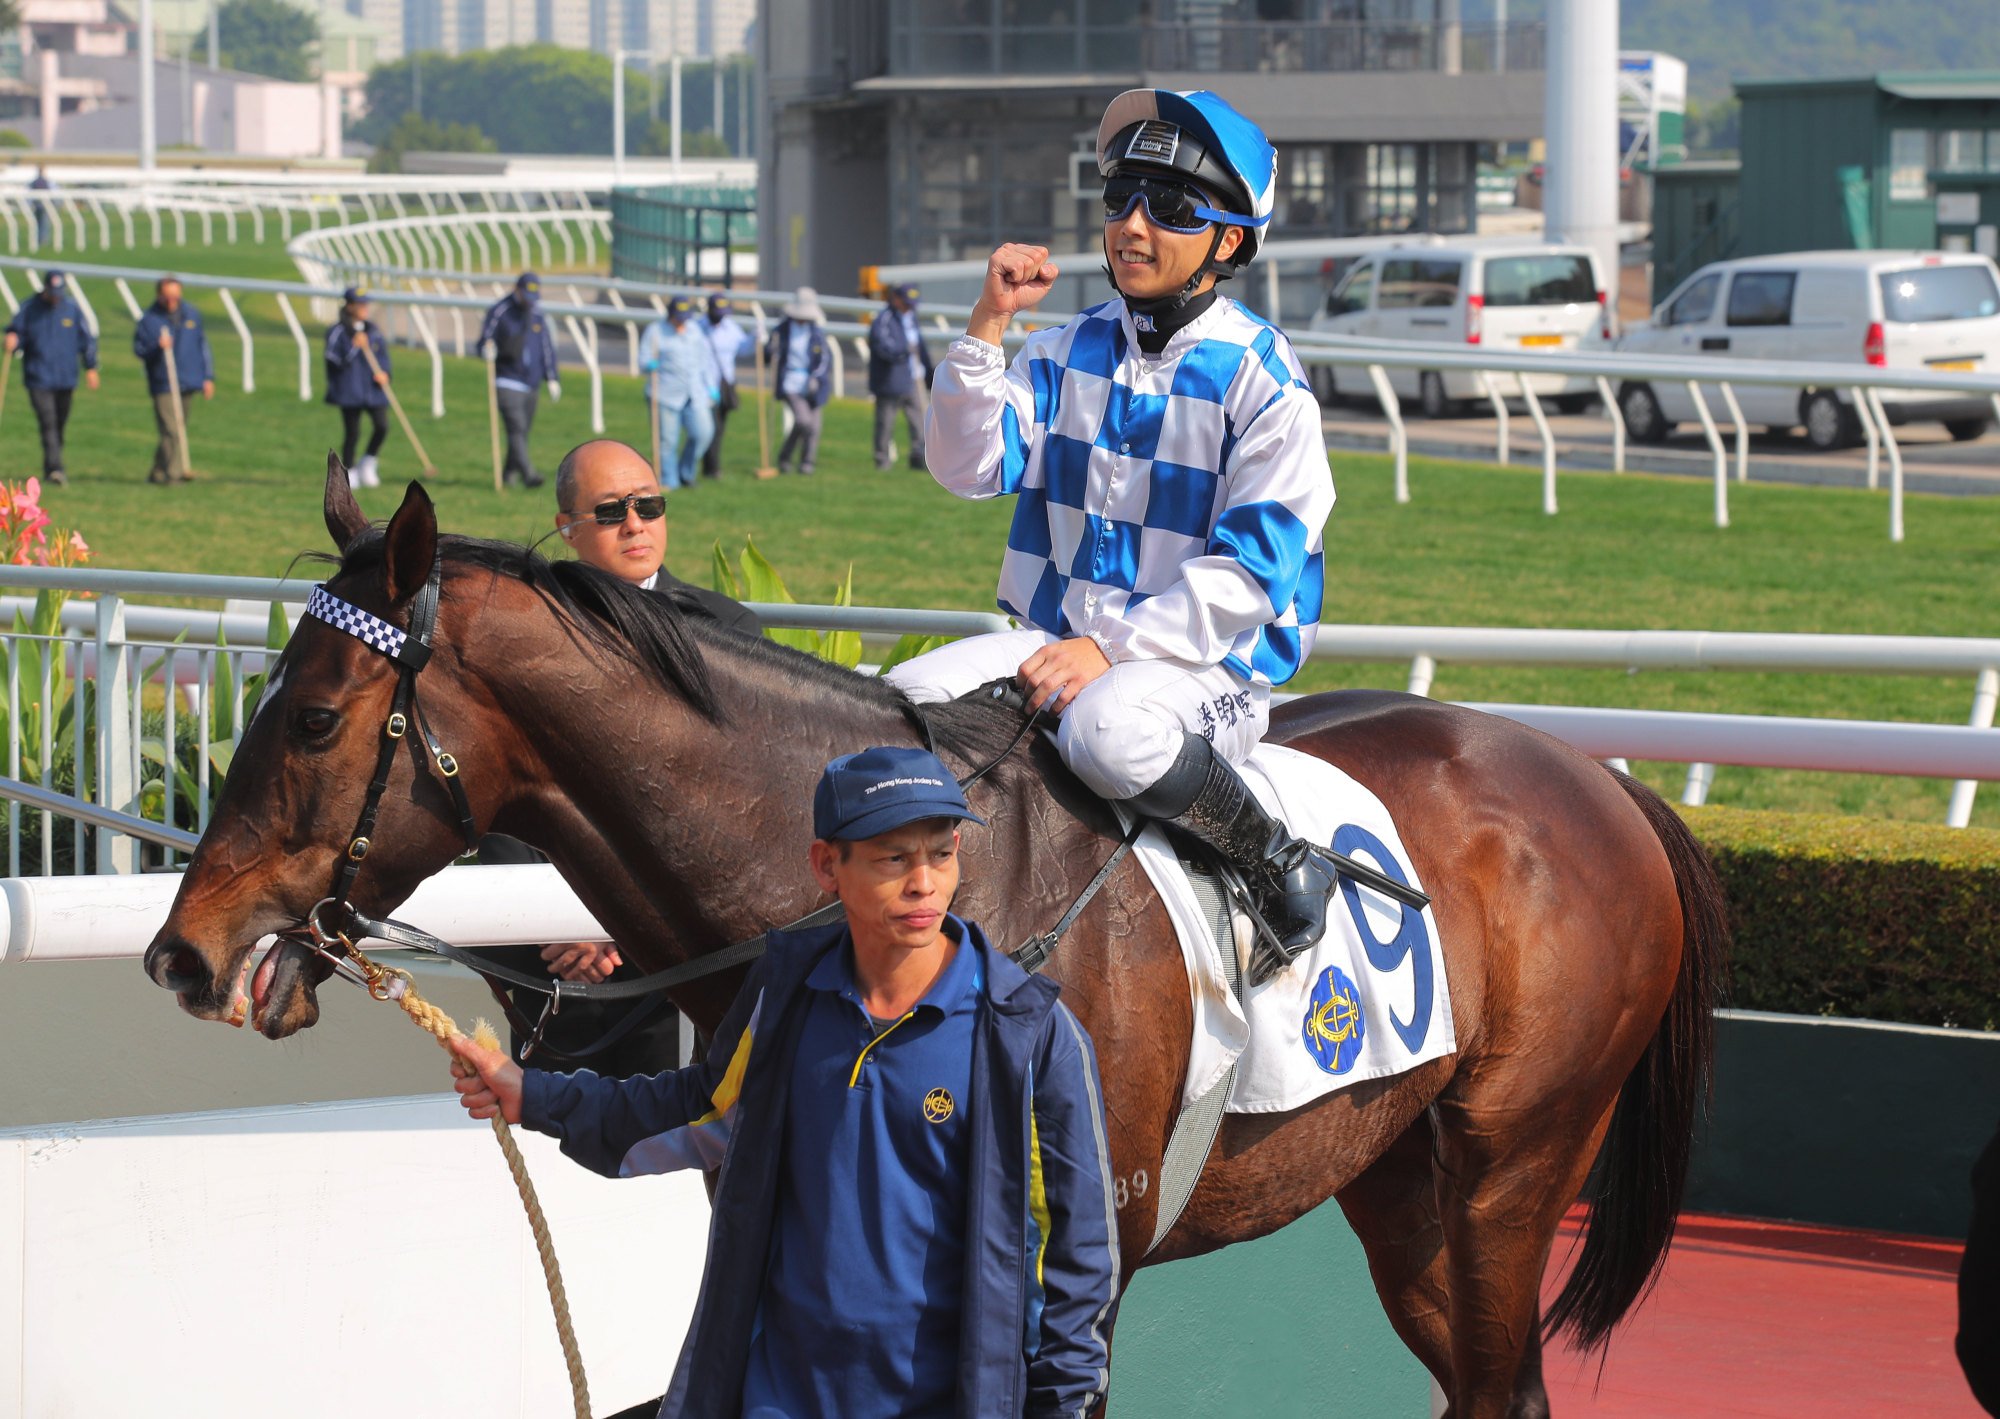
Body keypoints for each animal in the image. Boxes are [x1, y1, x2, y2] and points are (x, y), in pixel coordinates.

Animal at [148, 469, 1728, 1419]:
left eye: (313, 718)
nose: (185, 954)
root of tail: (1600, 781)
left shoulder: (1067, 1267)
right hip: (1398, 1182)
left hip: (1512, 1167)